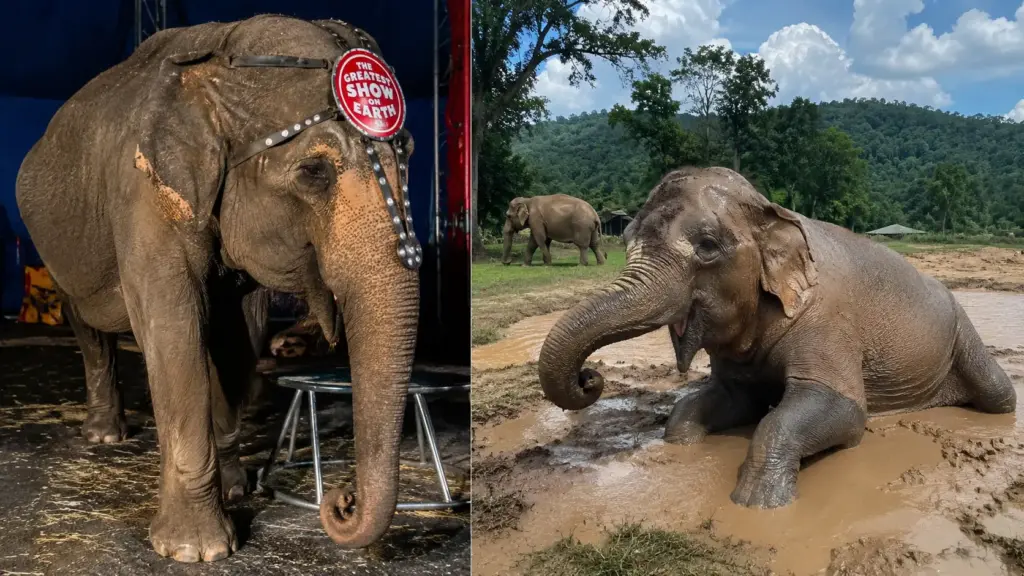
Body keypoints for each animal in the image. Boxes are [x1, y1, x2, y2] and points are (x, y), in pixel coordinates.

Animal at [16, 16, 421, 561]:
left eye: (410, 154)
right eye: (313, 172)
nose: (342, 499)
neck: (218, 54)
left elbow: (236, 335)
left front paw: (236, 490)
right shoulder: (143, 193)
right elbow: (173, 323)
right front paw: (196, 550)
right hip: (54, 248)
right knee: (85, 323)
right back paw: (105, 438)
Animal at [537, 166, 1016, 510]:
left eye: (707, 246)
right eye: (627, 237)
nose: (589, 378)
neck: (772, 212)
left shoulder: (828, 320)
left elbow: (842, 410)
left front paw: (760, 505)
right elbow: (716, 403)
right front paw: (682, 447)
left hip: (962, 330)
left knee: (1000, 394)